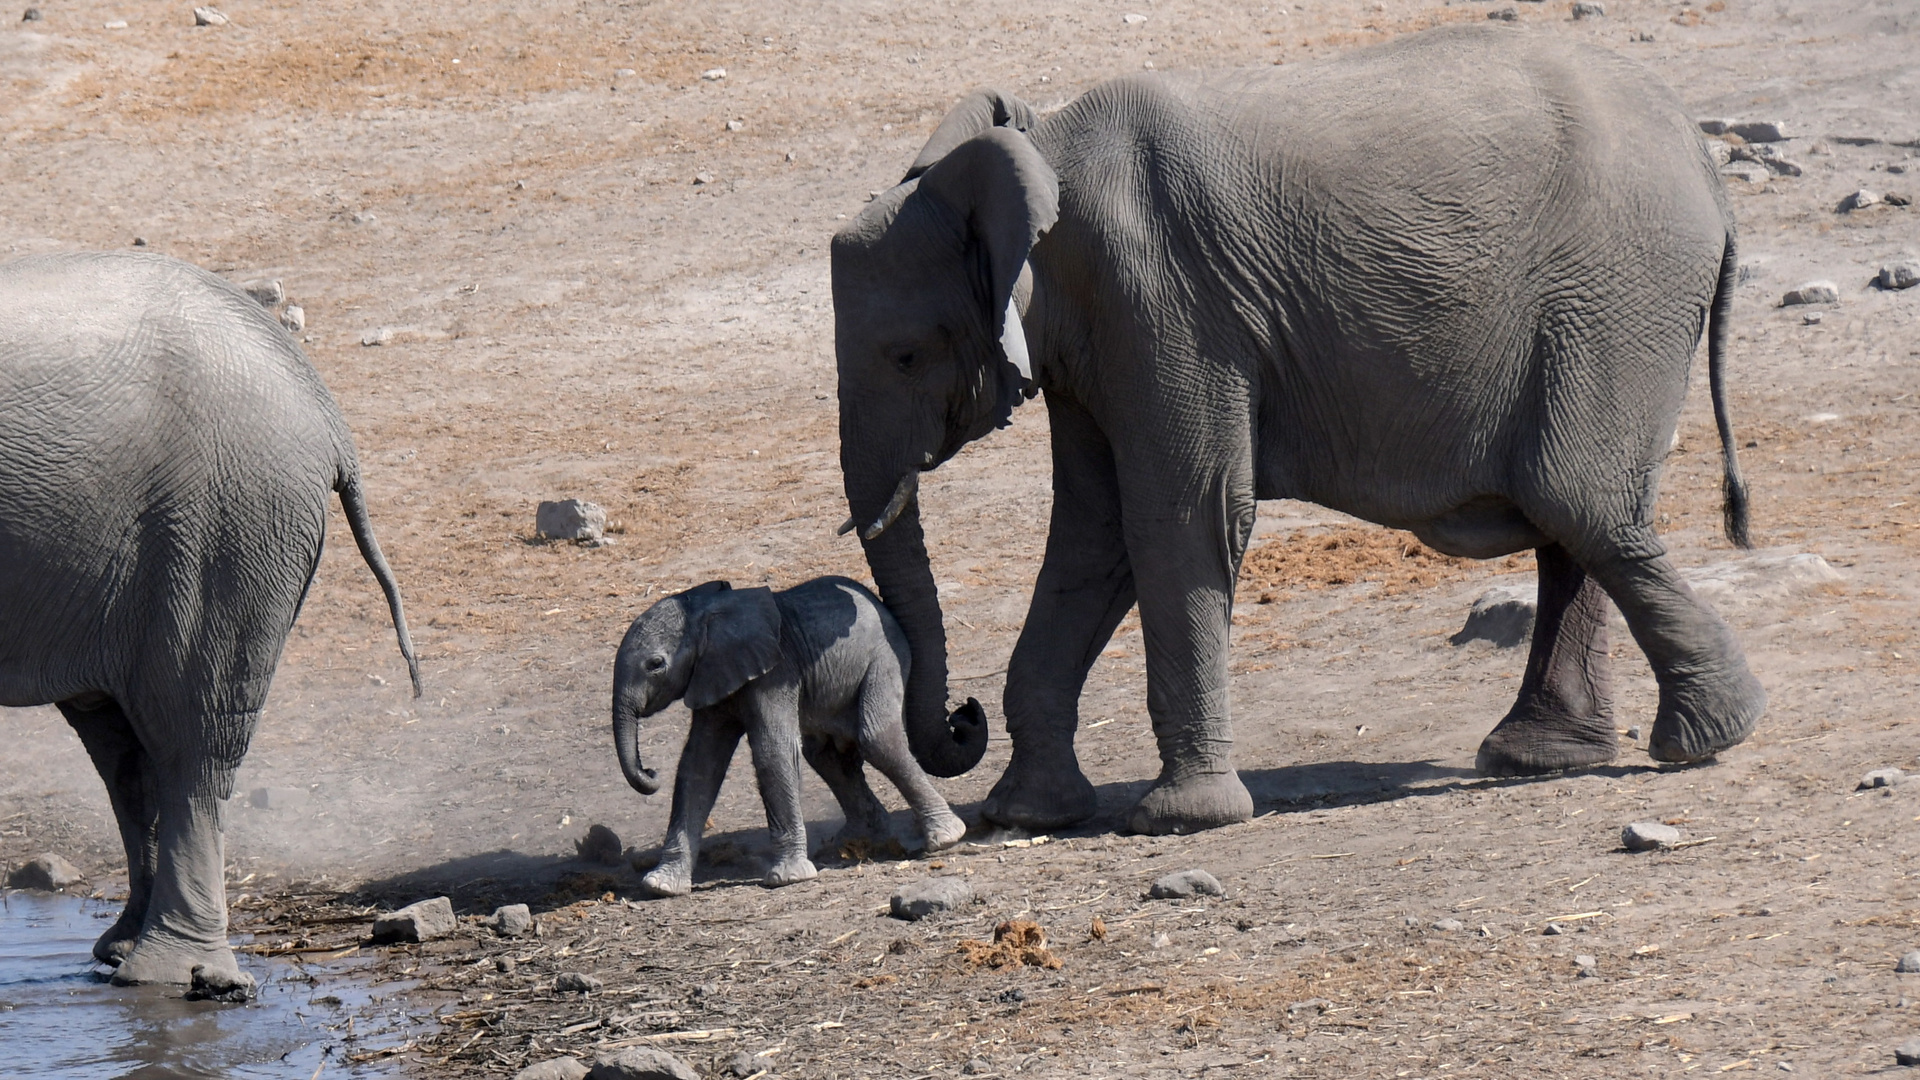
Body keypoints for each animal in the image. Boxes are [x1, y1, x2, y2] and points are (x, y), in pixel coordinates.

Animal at [0, 247, 420, 991]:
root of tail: (323, 403)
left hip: (224, 522)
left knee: (189, 737)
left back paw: (169, 974)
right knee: (125, 749)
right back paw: (123, 952)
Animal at [614, 576, 967, 895]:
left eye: (655, 664)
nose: (650, 772)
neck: (708, 612)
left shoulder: (775, 674)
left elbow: (773, 752)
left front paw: (787, 879)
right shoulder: (710, 677)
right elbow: (699, 765)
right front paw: (661, 886)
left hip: (883, 659)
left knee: (876, 738)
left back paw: (945, 837)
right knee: (826, 756)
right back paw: (857, 840)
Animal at [833, 23, 1758, 834]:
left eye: (906, 356)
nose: (962, 717)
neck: (1039, 149)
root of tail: (1705, 165)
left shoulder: (1164, 305)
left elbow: (1180, 516)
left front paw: (1180, 822)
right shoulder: (1096, 340)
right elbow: (1092, 539)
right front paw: (1027, 816)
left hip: (1615, 297)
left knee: (1576, 498)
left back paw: (1707, 739)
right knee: (1576, 511)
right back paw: (1550, 755)